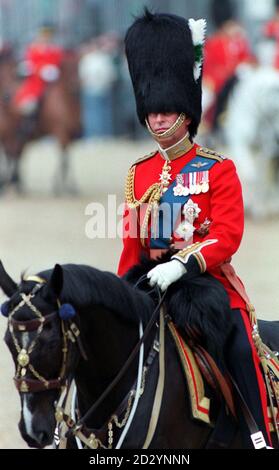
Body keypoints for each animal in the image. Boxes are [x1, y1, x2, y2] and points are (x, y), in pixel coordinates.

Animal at [0, 47, 82, 195]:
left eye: (79, 66)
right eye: (68, 68)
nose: (76, 86)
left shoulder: (69, 135)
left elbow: (66, 159)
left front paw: (66, 187)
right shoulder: (61, 132)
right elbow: (65, 159)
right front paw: (62, 187)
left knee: (15, 155)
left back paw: (16, 184)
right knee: (11, 155)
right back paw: (10, 183)